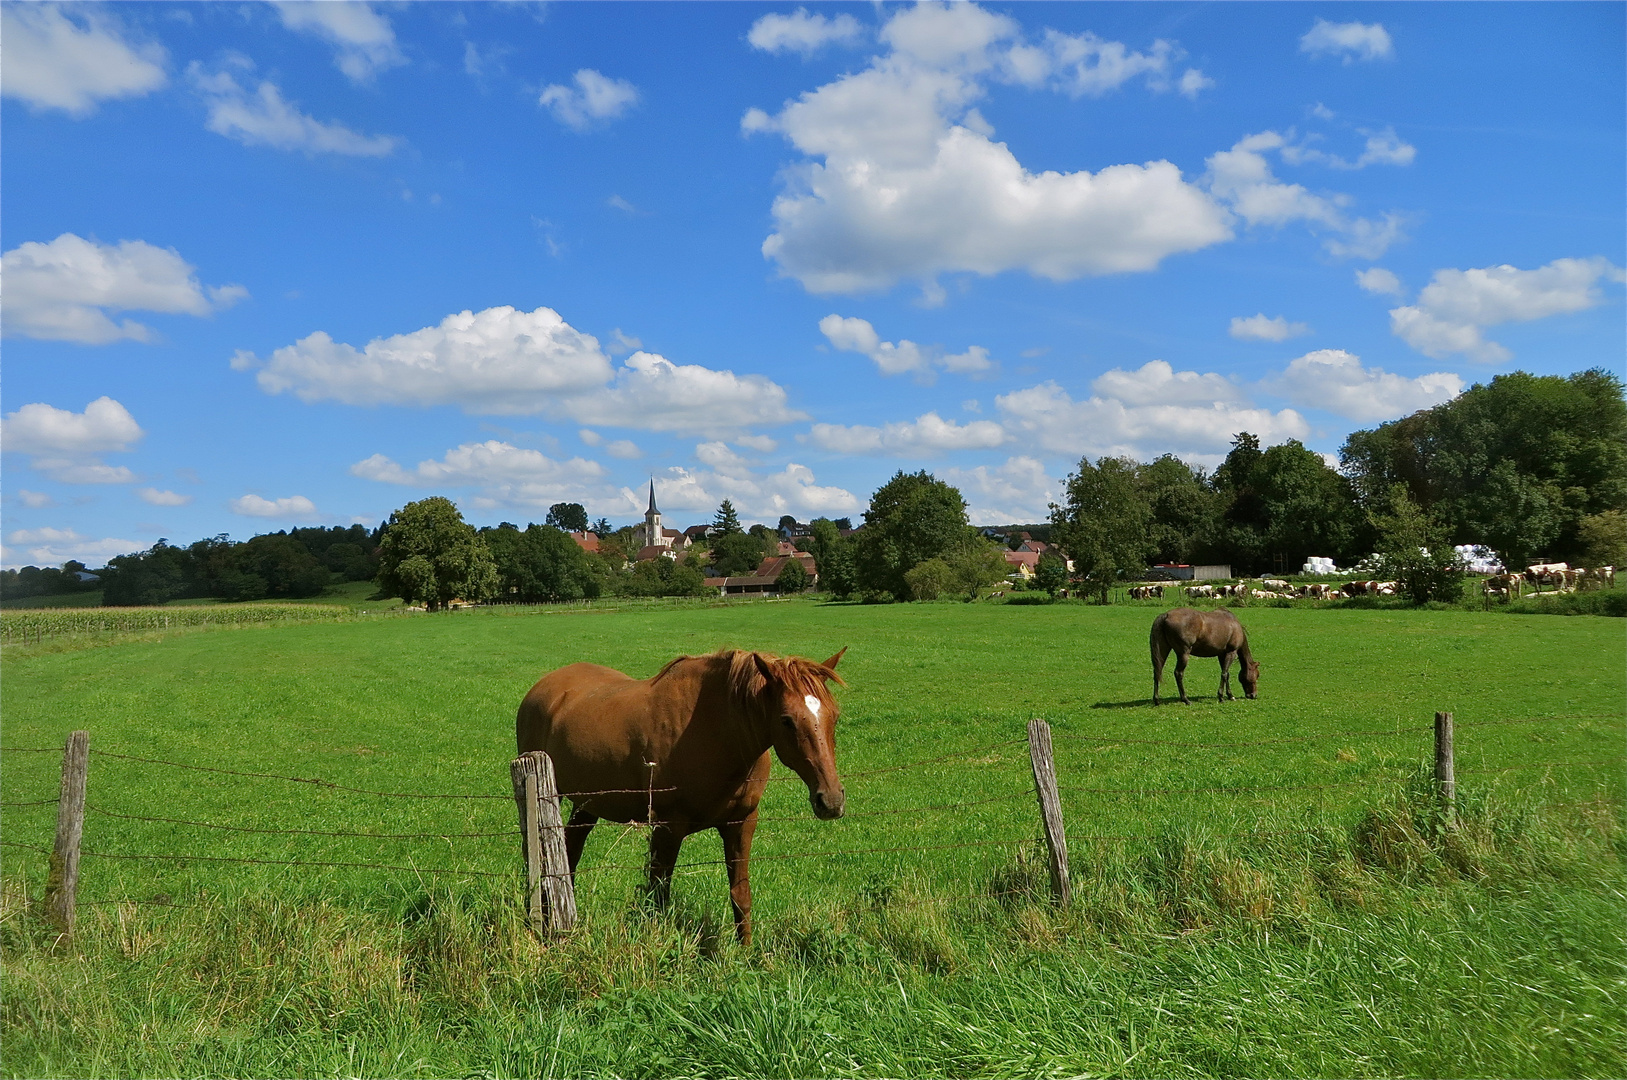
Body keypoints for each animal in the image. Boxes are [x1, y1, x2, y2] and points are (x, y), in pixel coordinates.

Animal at [517, 644, 852, 943]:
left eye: (834, 716)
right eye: (786, 720)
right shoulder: (668, 827)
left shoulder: (741, 823)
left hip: (586, 803)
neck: (718, 731)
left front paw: (749, 956)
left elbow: (740, 895)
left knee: (570, 852)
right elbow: (657, 896)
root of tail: (542, 687)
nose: (831, 800)